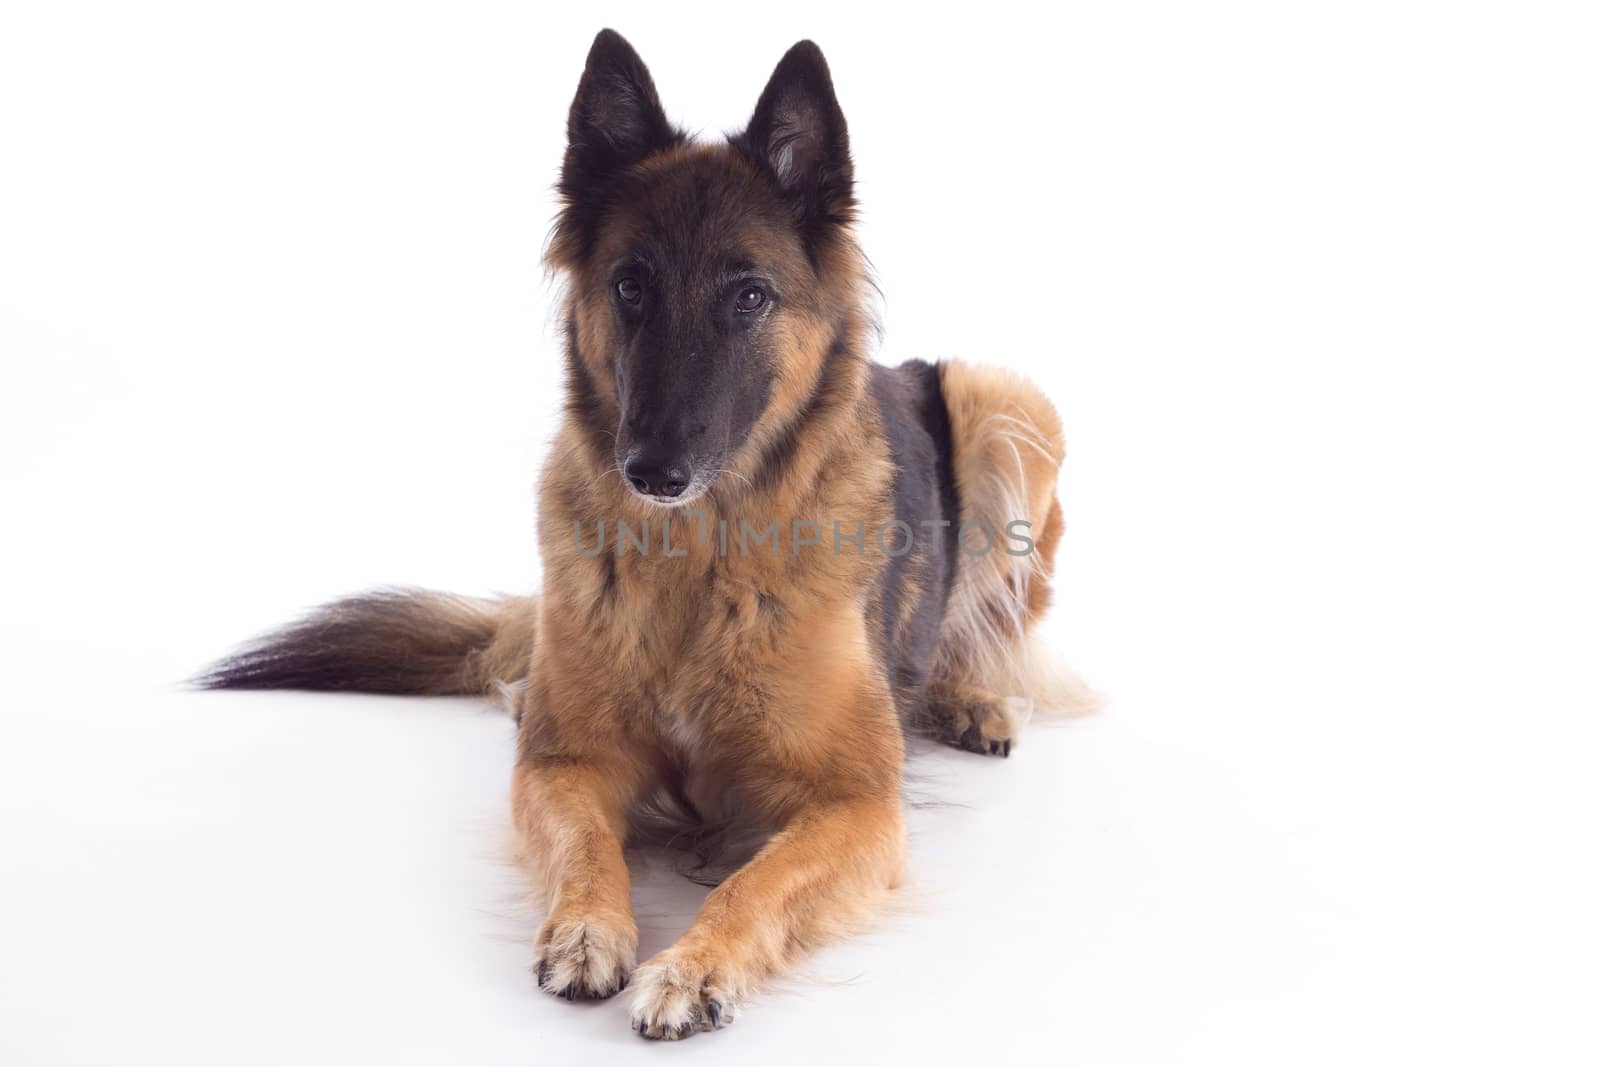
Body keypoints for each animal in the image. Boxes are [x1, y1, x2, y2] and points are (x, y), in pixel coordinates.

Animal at [200, 29, 1094, 1036]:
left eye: (749, 297)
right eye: (631, 286)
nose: (652, 471)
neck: (695, 564)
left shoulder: (859, 805)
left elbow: (757, 881)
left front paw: (694, 966)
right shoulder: (563, 763)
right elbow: (586, 841)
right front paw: (587, 925)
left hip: (1005, 402)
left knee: (985, 634)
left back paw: (976, 699)